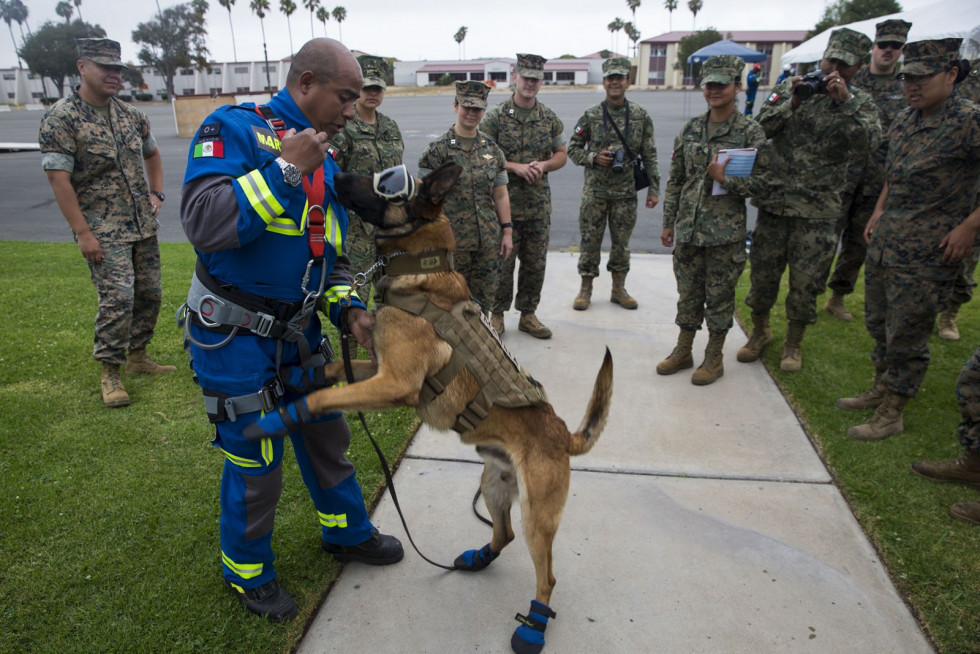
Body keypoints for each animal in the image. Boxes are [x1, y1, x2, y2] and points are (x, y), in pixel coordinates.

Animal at [245, 160, 612, 654]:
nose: (334, 168)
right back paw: (478, 558)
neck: (419, 270)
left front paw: (278, 419)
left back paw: (533, 626)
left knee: (547, 576)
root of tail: (564, 435)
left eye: (388, 183)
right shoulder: (378, 369)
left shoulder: (395, 385)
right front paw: (299, 378)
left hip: (539, 518)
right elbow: (332, 372)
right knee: (503, 532)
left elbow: (323, 398)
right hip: (494, 486)